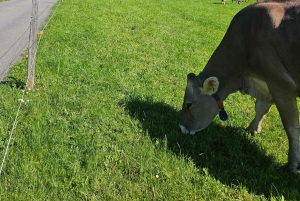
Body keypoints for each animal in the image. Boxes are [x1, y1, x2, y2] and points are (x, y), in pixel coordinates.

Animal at [179, 0, 300, 174]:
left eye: (188, 104)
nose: (181, 128)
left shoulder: (281, 84)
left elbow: (291, 127)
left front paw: (292, 165)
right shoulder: (267, 84)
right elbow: (261, 108)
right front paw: (253, 129)